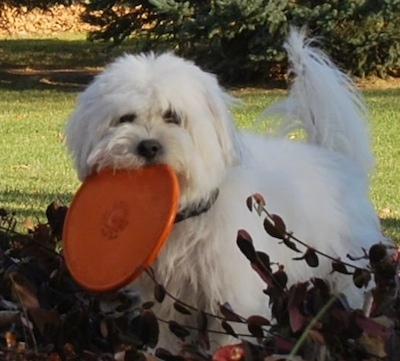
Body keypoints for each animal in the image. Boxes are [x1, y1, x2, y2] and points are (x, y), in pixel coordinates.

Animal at [66, 29, 388, 350]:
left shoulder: (233, 298)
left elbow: (227, 341)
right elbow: (168, 336)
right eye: (125, 118)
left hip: (343, 269)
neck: (184, 213)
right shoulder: (165, 300)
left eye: (173, 116)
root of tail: (335, 157)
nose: (148, 146)